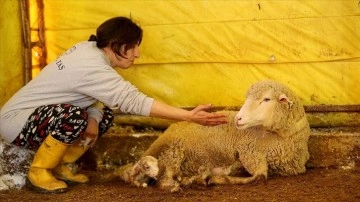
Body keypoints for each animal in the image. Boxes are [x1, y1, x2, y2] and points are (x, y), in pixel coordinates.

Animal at [141, 79, 310, 192]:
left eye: (267, 99)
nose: (238, 119)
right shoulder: (249, 153)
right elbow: (259, 176)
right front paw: (217, 178)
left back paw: (193, 179)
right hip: (172, 151)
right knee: (162, 181)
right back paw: (181, 184)